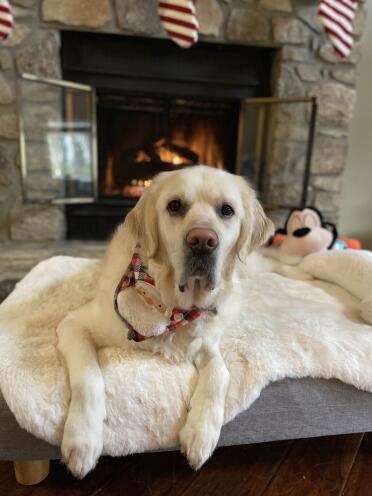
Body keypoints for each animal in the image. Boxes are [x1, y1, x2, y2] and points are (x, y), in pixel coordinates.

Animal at [57, 166, 274, 476]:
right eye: (175, 206)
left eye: (227, 210)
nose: (203, 240)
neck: (171, 307)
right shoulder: (75, 323)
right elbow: (88, 376)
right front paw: (82, 440)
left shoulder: (206, 339)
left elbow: (220, 374)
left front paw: (200, 434)